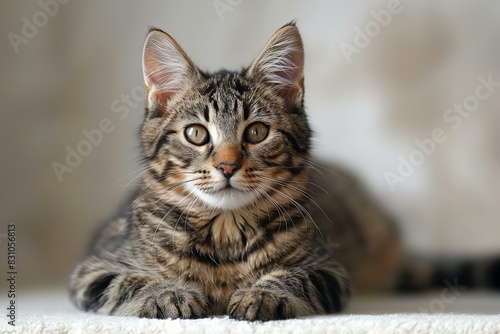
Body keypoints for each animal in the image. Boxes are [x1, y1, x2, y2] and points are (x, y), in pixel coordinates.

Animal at [69, 23, 402, 320]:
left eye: (256, 132)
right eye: (196, 134)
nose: (227, 165)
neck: (225, 230)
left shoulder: (328, 269)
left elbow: (296, 278)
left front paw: (265, 293)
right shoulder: (94, 268)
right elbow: (128, 281)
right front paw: (168, 293)